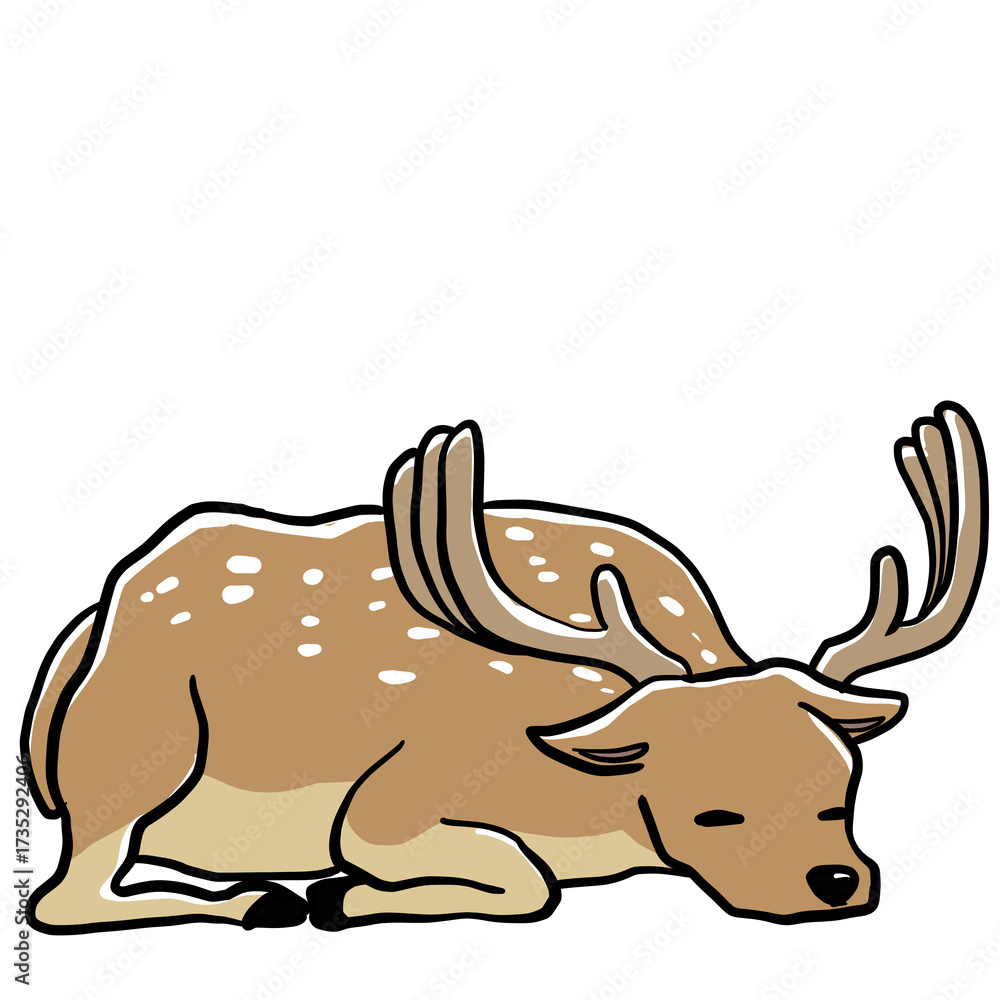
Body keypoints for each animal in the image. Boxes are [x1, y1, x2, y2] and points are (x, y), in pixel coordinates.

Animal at [21, 400, 987, 934]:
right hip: (137, 740)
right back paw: (263, 899)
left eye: (841, 791)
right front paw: (340, 896)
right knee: (60, 897)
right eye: (715, 812)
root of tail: (87, 628)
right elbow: (528, 881)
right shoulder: (388, 798)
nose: (839, 883)